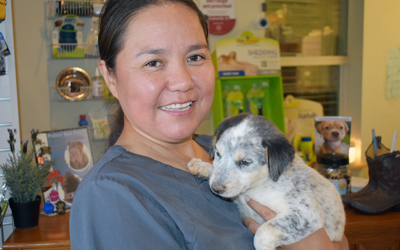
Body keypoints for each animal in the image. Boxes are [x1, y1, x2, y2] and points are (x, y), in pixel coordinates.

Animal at [186, 114, 346, 250]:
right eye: (218, 153)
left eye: (245, 162)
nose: (216, 188)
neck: (260, 186)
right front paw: (201, 166)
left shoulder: (308, 213)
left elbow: (263, 232)